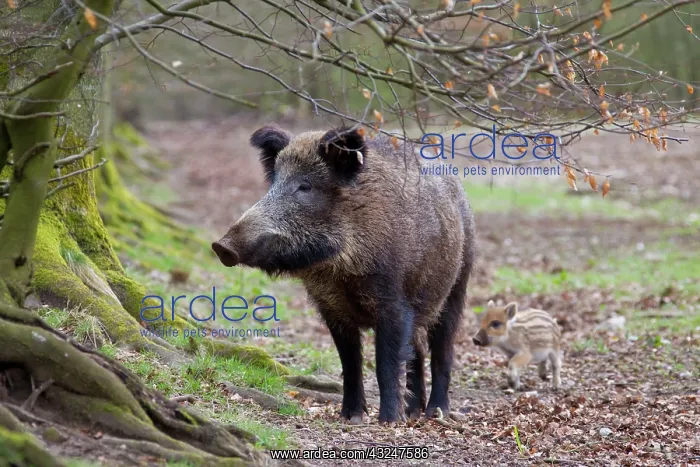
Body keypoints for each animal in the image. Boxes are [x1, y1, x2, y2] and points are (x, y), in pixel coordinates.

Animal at [212, 125, 476, 423]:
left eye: (305, 186)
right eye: (274, 184)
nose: (221, 246)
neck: (339, 272)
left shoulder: (394, 303)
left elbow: (385, 363)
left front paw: (388, 421)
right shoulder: (331, 308)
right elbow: (350, 363)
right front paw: (351, 417)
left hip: (458, 284)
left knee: (443, 350)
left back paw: (435, 412)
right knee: (416, 349)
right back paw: (412, 413)